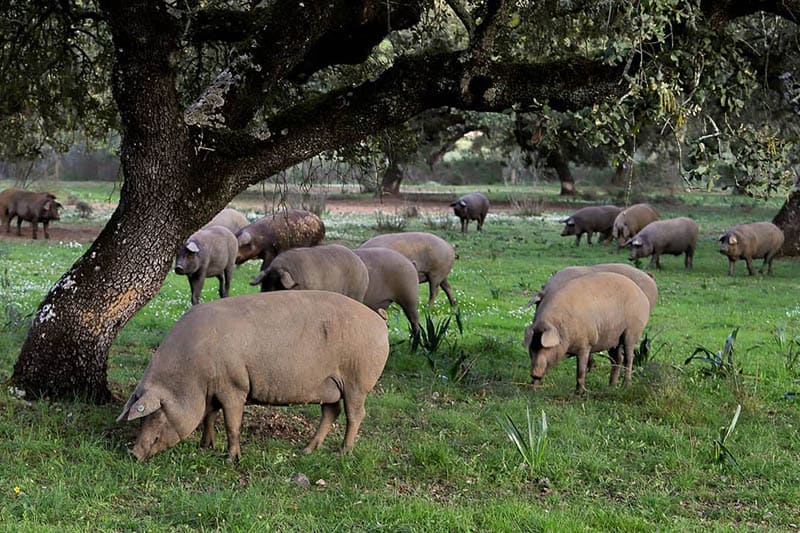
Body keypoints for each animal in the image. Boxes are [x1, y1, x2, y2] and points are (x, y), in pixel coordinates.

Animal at [118, 288, 390, 460]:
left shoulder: (233, 386)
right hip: (329, 384)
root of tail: (378, 320)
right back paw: (306, 451)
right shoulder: (213, 390)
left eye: (157, 413)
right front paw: (205, 447)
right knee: (332, 412)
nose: (132, 454)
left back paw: (343, 452)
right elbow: (208, 417)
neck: (192, 372)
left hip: (357, 381)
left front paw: (231, 459)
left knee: (355, 414)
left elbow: (231, 424)